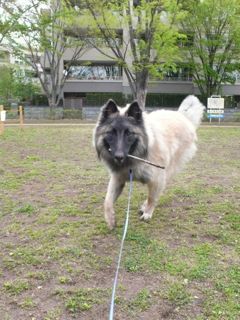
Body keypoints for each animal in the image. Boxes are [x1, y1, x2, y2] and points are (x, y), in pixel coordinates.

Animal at [93, 95, 204, 230]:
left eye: (129, 133)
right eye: (111, 133)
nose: (119, 156)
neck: (136, 156)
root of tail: (182, 116)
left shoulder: (156, 179)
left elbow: (152, 198)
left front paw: (147, 213)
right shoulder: (118, 179)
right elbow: (107, 201)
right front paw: (110, 219)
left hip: (169, 169)